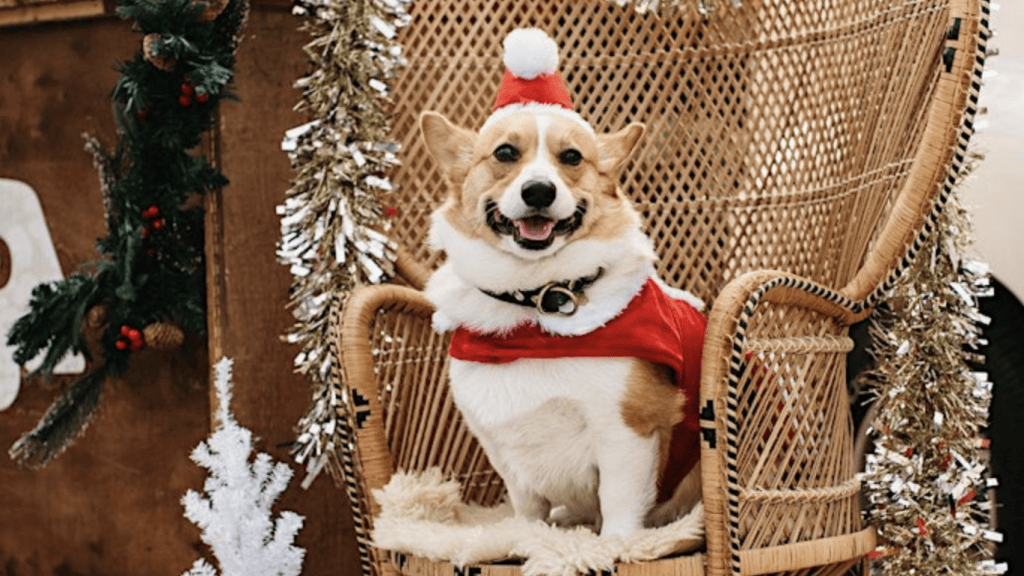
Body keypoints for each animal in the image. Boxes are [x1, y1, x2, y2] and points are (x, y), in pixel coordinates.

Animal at [417, 28, 704, 537]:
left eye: (572, 157)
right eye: (504, 153)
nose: (539, 191)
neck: (533, 307)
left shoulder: (626, 432)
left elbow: (619, 508)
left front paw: (615, 545)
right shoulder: (510, 458)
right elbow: (528, 512)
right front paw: (530, 539)